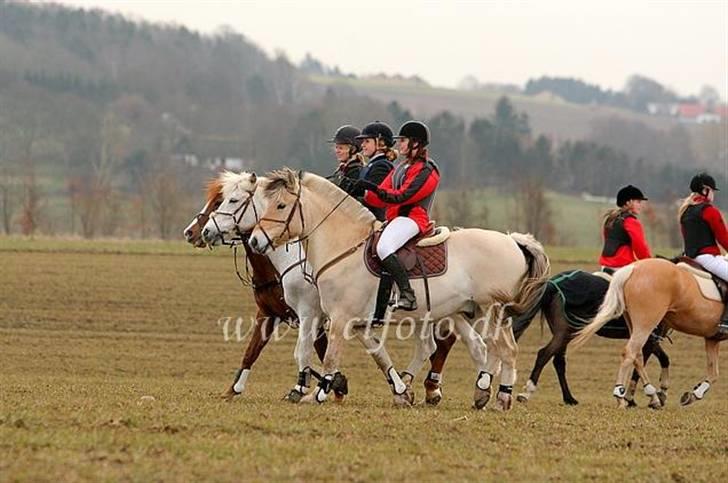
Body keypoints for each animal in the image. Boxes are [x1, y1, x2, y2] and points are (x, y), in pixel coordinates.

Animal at [202, 172, 472, 406]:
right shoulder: (274, 313)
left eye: (230, 200)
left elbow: (308, 350)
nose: (202, 232)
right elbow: (257, 350)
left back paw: (437, 389)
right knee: (436, 345)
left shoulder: (312, 312)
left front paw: (316, 387)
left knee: (446, 343)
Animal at [246, 168, 552, 410]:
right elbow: (379, 355)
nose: (255, 241)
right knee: (484, 348)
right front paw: (401, 391)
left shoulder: (339, 319)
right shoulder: (359, 323)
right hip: (469, 311)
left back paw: (501, 396)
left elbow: (331, 356)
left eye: (281, 206)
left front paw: (318, 394)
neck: (344, 245)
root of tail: (514, 240)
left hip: (491, 309)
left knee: (505, 349)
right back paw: (480, 390)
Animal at [572, 260, 724, 408]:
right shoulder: (653, 339)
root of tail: (633, 268)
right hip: (645, 325)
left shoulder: (712, 339)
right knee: (630, 353)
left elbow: (714, 372)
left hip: (636, 326)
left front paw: (690, 394)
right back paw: (620, 395)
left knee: (636, 355)